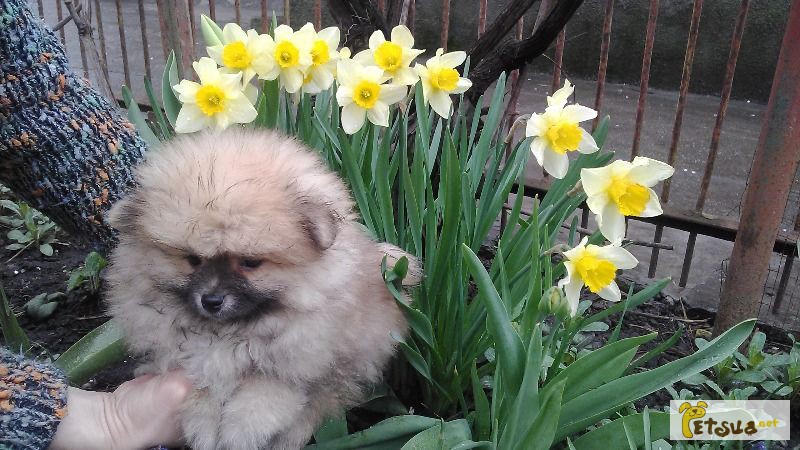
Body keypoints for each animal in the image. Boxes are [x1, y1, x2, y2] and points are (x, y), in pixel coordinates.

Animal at [104, 127, 418, 450]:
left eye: (250, 262)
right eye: (193, 259)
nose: (212, 300)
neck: (231, 333)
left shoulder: (300, 361)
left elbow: (265, 396)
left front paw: (240, 432)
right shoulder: (181, 358)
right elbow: (203, 388)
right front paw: (203, 425)